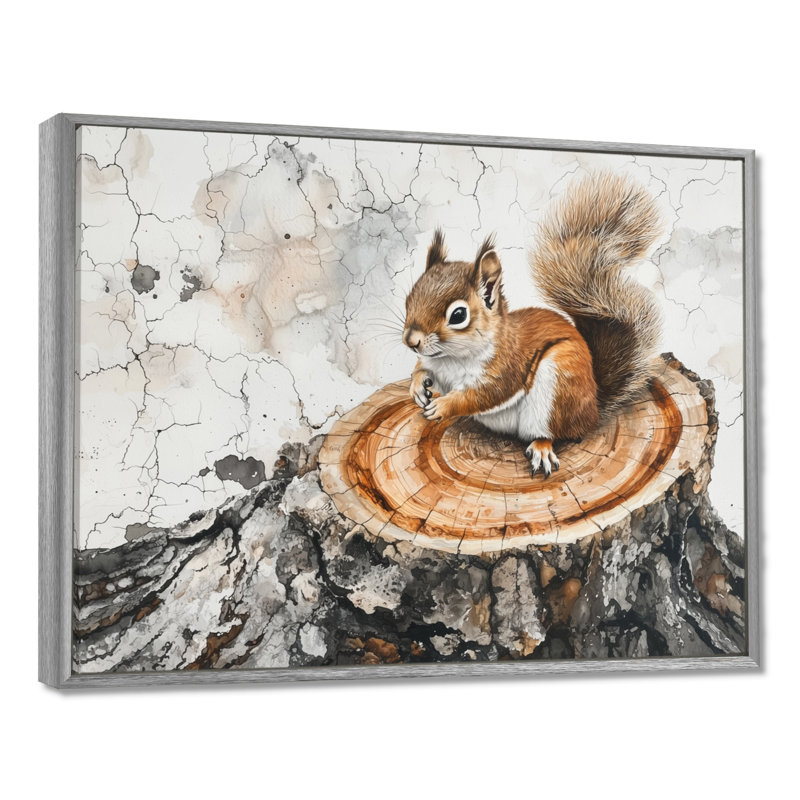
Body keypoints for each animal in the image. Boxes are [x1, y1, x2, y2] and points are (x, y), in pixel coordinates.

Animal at [402, 172, 663, 476]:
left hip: (556, 388)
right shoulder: (434, 364)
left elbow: (481, 396)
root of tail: (594, 409)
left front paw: (444, 405)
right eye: (410, 297)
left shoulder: (506, 368)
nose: (411, 341)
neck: (451, 358)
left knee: (552, 432)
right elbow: (421, 369)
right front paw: (418, 387)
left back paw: (542, 448)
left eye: (458, 315)